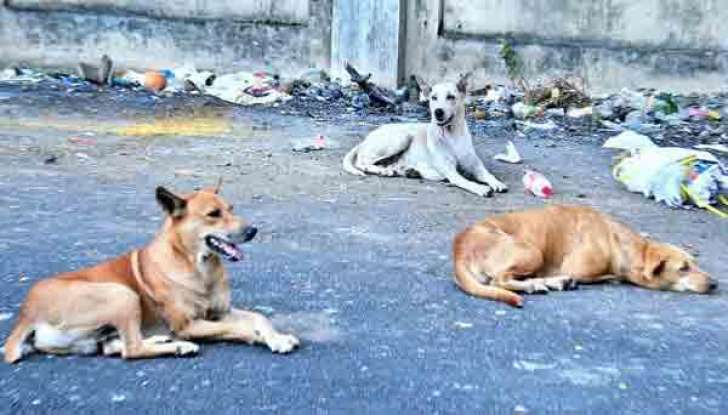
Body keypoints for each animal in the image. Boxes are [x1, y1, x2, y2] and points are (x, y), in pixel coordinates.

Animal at [2, 185, 298, 364]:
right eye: (214, 214)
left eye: (231, 208)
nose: (253, 231)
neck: (198, 266)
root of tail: (25, 314)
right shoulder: (188, 325)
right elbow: (239, 327)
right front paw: (258, 337)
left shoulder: (220, 312)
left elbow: (259, 317)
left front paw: (276, 337)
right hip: (121, 294)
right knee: (131, 350)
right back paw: (180, 346)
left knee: (114, 345)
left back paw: (166, 341)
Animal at [342, 76, 506, 198]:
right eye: (433, 98)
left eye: (451, 97)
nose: (438, 112)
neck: (451, 134)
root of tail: (366, 138)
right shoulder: (450, 172)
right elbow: (465, 181)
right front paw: (480, 188)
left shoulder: (475, 165)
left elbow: (488, 174)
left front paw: (497, 183)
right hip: (401, 137)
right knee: (362, 162)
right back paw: (384, 171)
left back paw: (406, 171)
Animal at [452, 206, 720, 308]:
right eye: (683, 268)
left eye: (695, 264)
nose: (715, 283)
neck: (616, 240)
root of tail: (459, 247)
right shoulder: (579, 268)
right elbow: (607, 276)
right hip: (531, 251)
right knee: (501, 280)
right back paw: (538, 284)